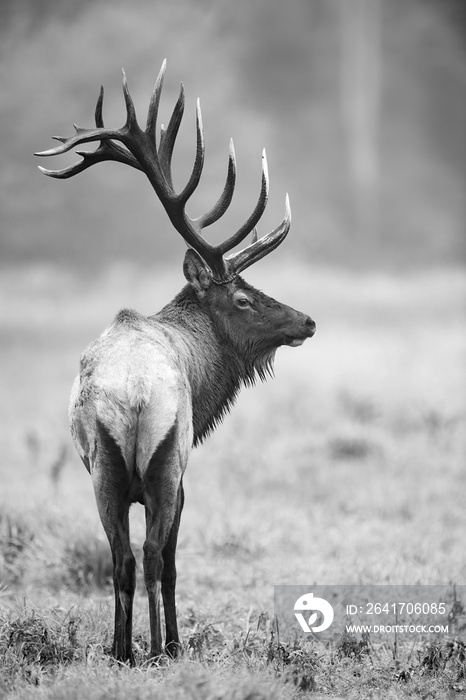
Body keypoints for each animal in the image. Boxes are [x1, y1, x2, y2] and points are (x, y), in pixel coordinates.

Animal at [34, 60, 314, 660]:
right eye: (243, 298)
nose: (307, 321)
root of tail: (136, 393)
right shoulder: (185, 470)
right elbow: (173, 559)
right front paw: (175, 641)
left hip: (103, 469)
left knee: (123, 557)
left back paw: (123, 650)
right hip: (164, 462)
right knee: (154, 554)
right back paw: (163, 648)